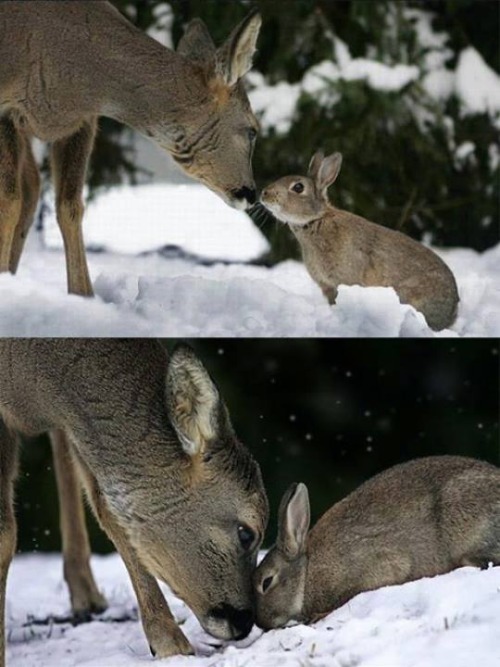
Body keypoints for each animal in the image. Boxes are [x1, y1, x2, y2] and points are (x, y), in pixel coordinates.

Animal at [0, 1, 262, 296]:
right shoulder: (7, 108)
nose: (251, 193)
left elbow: (70, 207)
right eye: (252, 129)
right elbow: (8, 201)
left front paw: (83, 295)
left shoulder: (82, 122)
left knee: (32, 186)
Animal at [0, 339, 269, 666]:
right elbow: (5, 534)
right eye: (246, 533)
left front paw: (170, 642)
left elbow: (110, 510)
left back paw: (87, 596)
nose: (245, 621)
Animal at [260, 152, 459, 331]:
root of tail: (452, 313)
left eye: (298, 187)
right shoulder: (327, 286)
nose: (264, 194)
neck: (317, 220)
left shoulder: (344, 280)